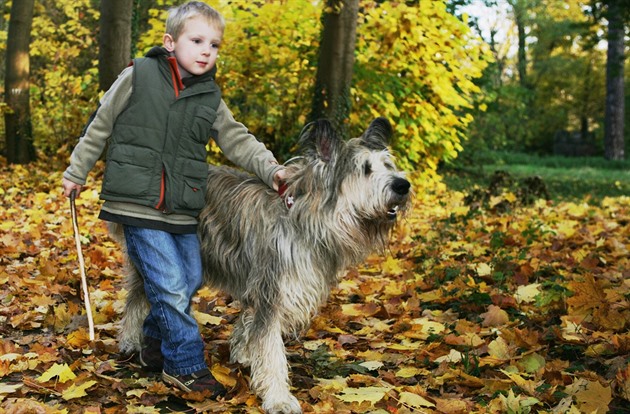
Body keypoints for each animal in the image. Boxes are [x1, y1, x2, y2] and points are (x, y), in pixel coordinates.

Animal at [119, 118, 414, 412]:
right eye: (365, 169)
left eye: (387, 165)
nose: (403, 185)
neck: (305, 218)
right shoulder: (272, 289)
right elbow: (271, 349)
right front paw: (278, 397)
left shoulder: (261, 285)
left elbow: (250, 326)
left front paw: (244, 355)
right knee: (141, 295)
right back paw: (131, 341)